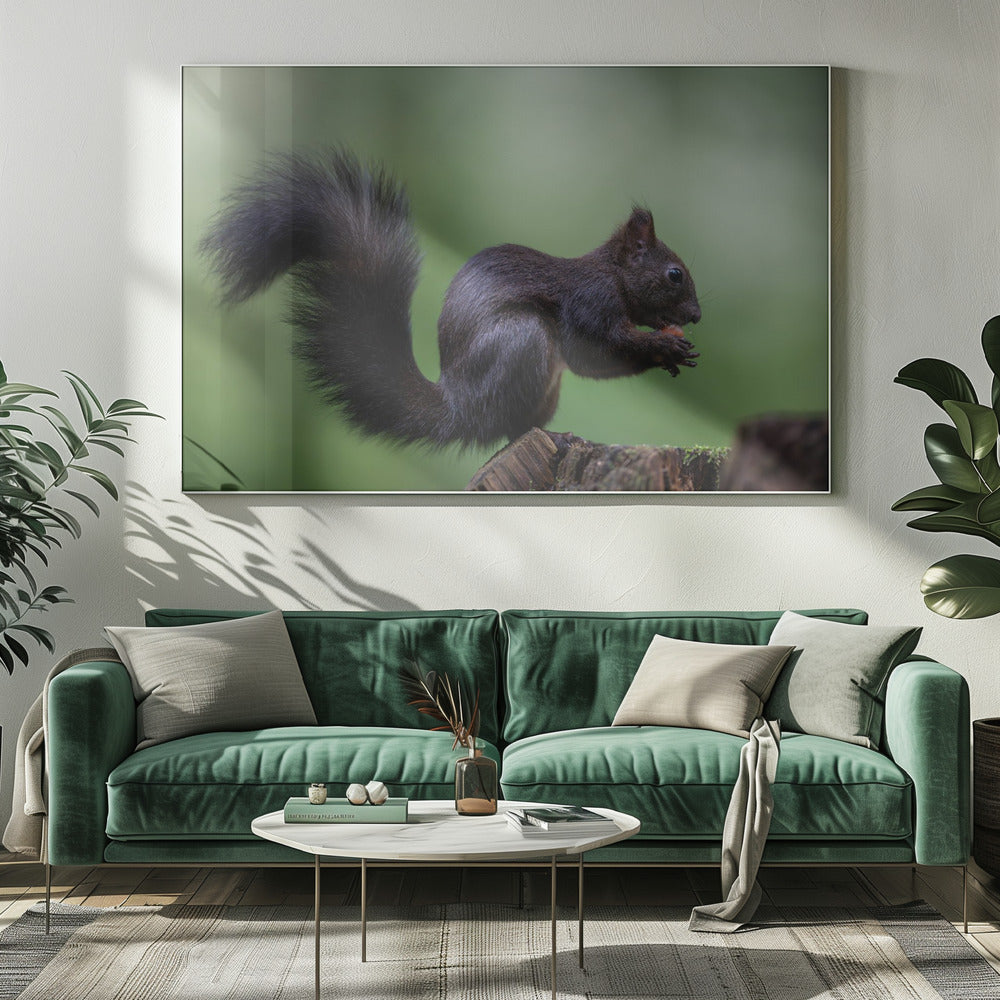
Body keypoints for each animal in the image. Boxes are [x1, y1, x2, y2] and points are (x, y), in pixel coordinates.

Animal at [200, 150, 702, 449]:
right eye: (674, 274)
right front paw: (665, 345)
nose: (696, 316)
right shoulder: (589, 303)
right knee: (505, 427)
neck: (613, 274)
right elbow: (598, 348)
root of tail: (458, 408)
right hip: (523, 341)